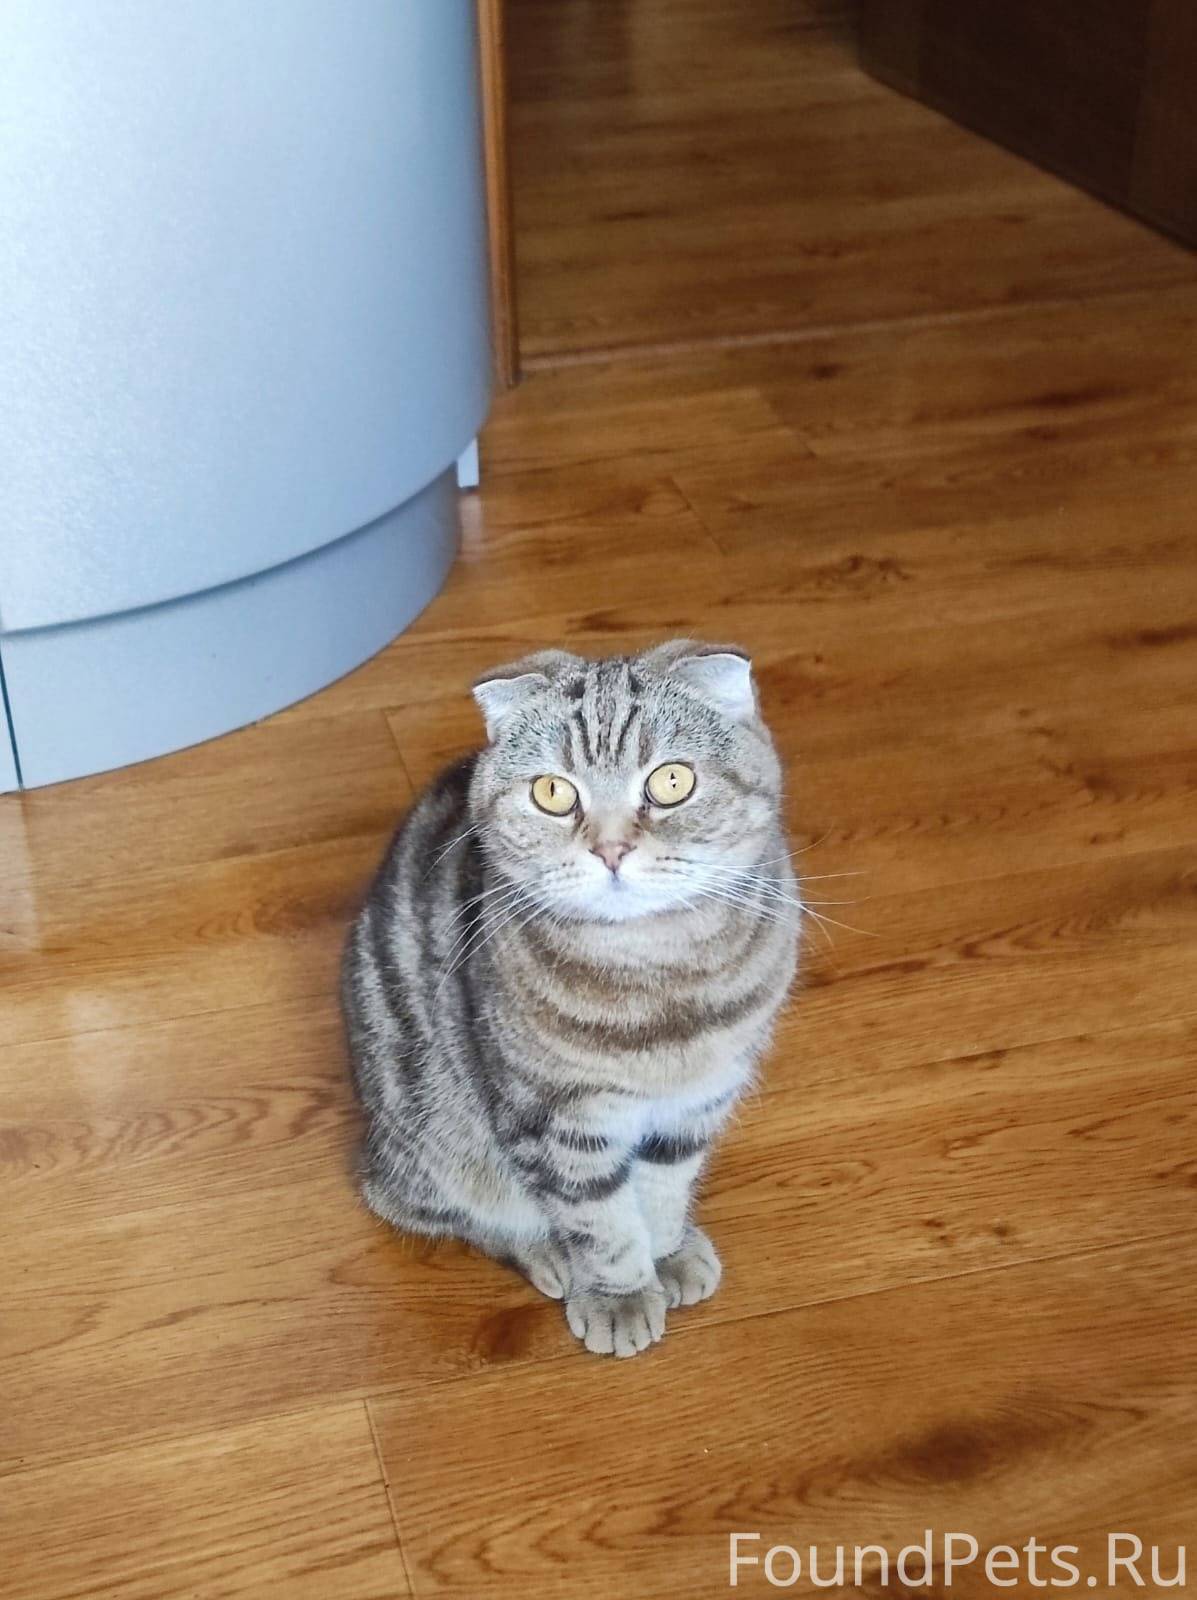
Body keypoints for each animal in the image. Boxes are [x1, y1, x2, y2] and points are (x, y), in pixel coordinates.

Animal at [341, 640, 799, 1357]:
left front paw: (667, 1252)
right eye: (553, 792)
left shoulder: (697, 1100)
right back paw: (547, 1252)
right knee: (443, 1210)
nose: (611, 849)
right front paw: (618, 1294)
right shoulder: (555, 1115)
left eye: (672, 782)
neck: (658, 978)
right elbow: (598, 1217)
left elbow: (663, 1187)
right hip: (437, 1133)